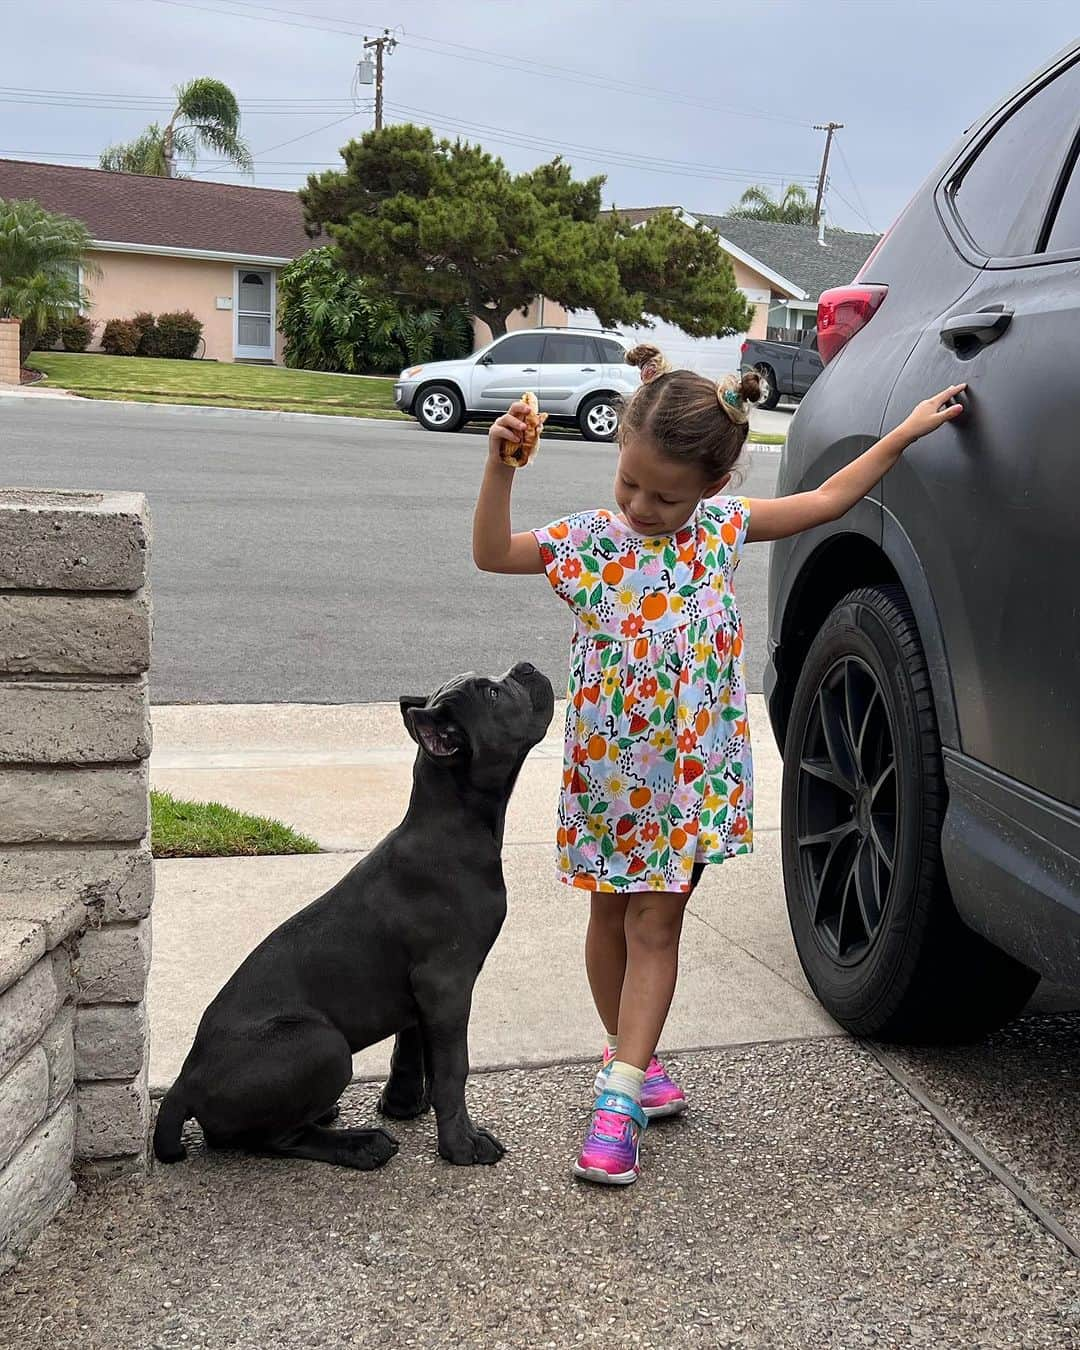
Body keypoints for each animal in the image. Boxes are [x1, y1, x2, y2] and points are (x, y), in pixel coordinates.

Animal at [151, 664, 553, 1171]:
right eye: (494, 694)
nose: (525, 667)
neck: (451, 826)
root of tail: (183, 1084)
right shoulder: (447, 984)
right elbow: (452, 1069)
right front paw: (461, 1144)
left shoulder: (420, 989)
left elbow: (411, 1047)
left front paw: (404, 1104)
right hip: (324, 1045)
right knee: (276, 1138)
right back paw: (359, 1144)